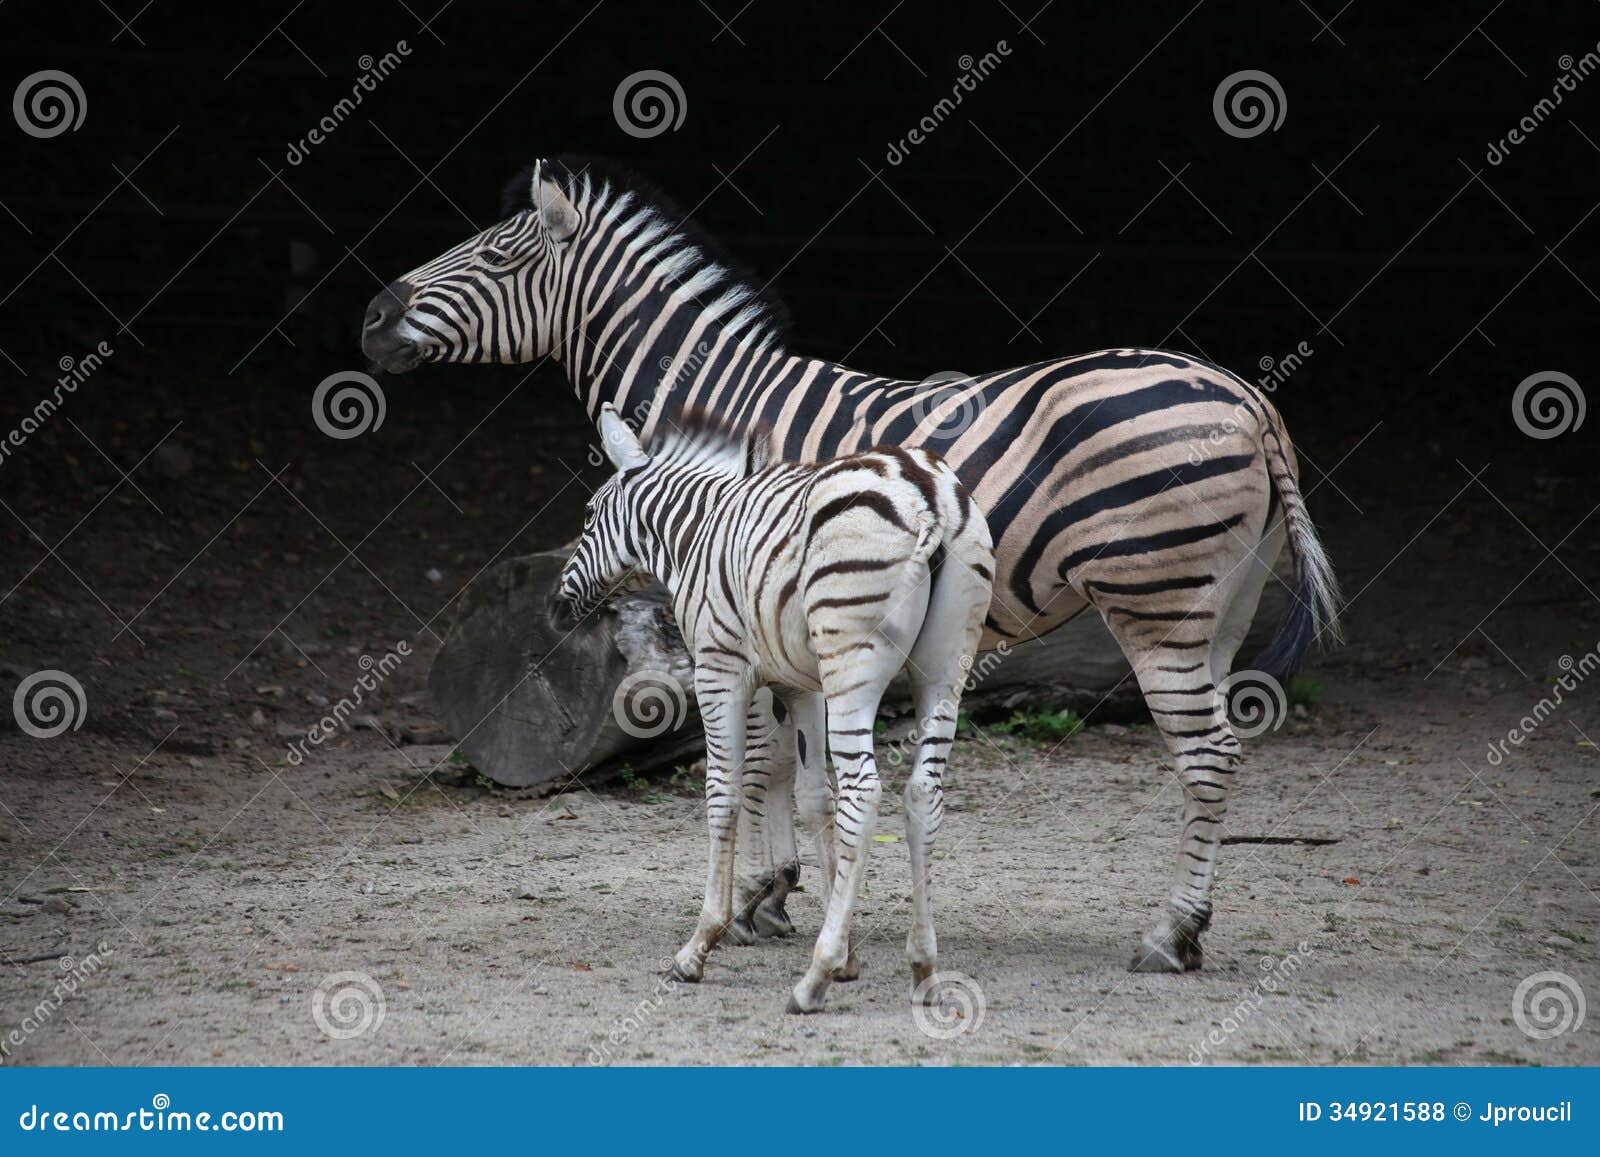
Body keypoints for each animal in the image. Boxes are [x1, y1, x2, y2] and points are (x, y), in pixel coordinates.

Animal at [555, 404, 992, 1011]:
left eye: (590, 514)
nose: (555, 604)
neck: (697, 532)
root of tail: (926, 489)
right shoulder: (800, 686)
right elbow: (813, 797)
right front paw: (848, 952)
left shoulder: (719, 670)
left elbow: (725, 794)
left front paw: (701, 943)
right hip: (946, 668)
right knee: (922, 794)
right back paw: (923, 967)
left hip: (852, 664)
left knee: (864, 792)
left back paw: (813, 979)